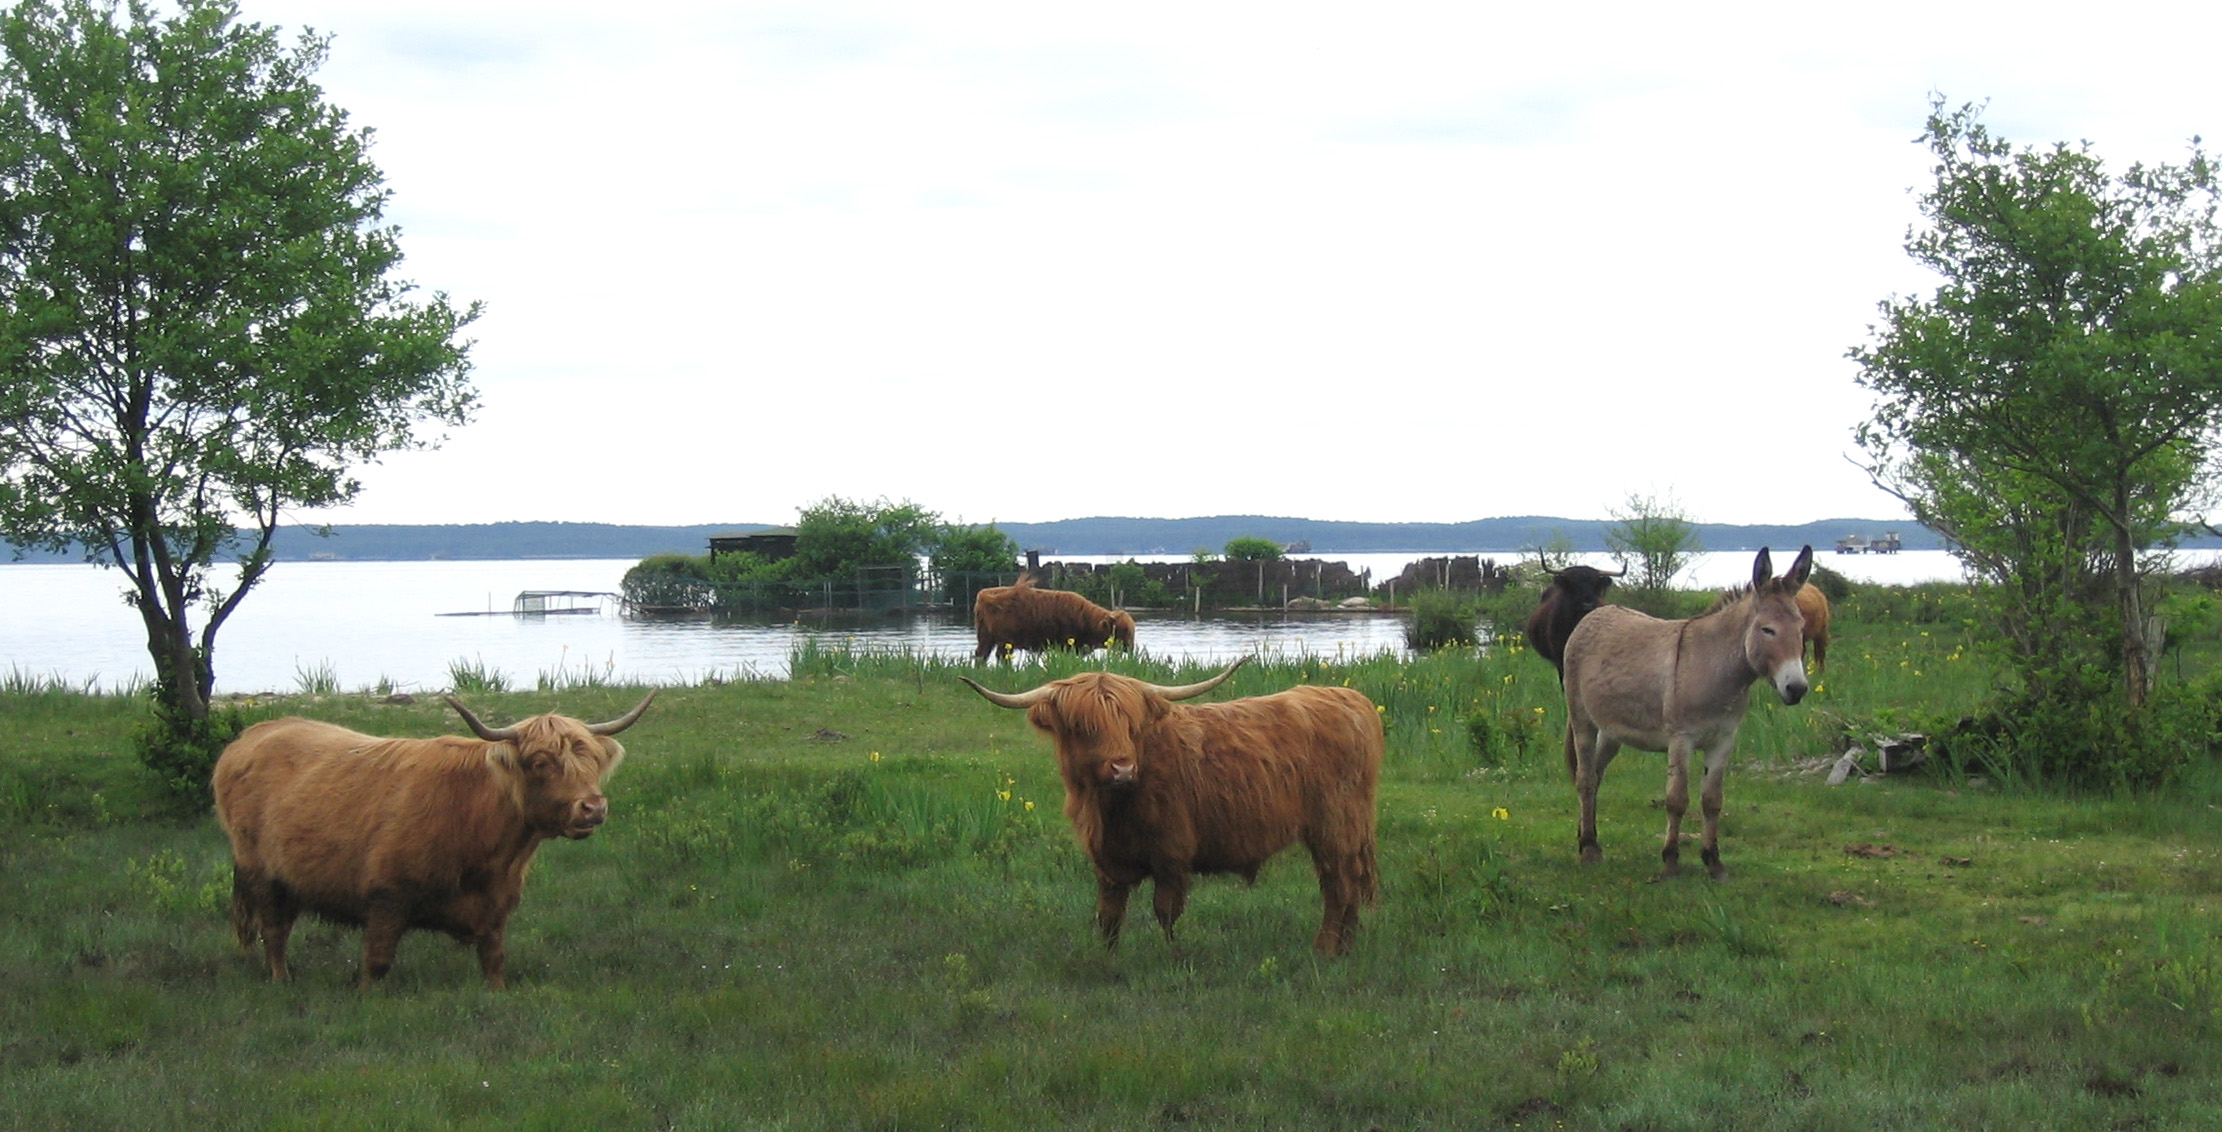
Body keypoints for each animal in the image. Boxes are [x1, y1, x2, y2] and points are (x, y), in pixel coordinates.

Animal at [208, 684, 653, 982]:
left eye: (591, 760)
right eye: (542, 762)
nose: (593, 808)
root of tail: (249, 737)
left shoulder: (496, 907)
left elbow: (494, 963)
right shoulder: (386, 898)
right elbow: (377, 964)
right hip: (260, 872)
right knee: (273, 932)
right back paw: (282, 981)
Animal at [959, 653, 1377, 951]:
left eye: (1131, 725)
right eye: (1083, 727)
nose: (1122, 768)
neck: (1110, 808)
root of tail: (1352, 699)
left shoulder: (1172, 854)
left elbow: (1166, 912)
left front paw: (1169, 954)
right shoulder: (1106, 861)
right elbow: (1108, 915)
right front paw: (1107, 956)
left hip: (1334, 825)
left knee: (1338, 885)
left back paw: (1324, 950)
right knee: (1352, 883)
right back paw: (1348, 945)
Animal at [973, 573, 1137, 662]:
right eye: (1123, 630)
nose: (1131, 649)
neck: (1086, 619)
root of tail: (985, 594)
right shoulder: (1068, 644)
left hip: (986, 638)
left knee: (981, 655)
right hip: (1005, 641)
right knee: (1000, 657)